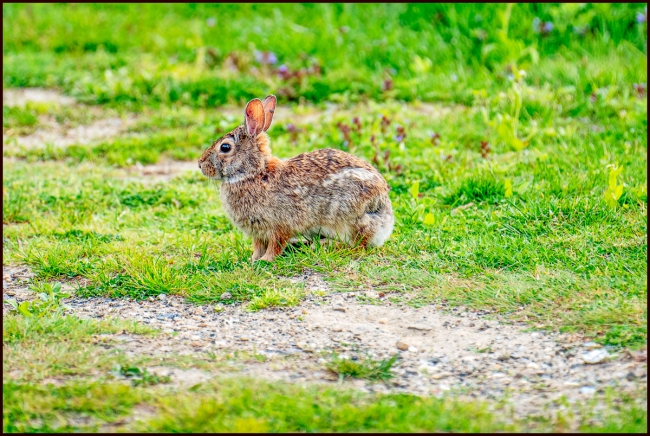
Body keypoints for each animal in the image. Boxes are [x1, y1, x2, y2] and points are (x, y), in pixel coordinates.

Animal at [198, 95, 394, 262]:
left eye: (225, 147)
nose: (200, 164)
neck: (254, 173)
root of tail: (386, 221)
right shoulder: (258, 232)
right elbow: (258, 246)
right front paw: (253, 260)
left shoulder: (280, 225)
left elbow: (275, 246)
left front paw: (265, 260)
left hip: (350, 218)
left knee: (358, 244)